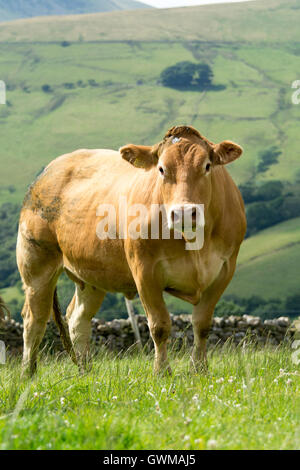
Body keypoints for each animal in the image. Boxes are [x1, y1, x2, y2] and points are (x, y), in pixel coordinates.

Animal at [17, 126, 246, 378]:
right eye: (161, 169)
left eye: (207, 166)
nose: (184, 213)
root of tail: (50, 169)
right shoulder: (145, 272)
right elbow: (159, 326)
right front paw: (162, 372)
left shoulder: (224, 270)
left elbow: (202, 324)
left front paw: (200, 369)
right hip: (36, 264)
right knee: (34, 320)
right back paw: (27, 373)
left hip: (92, 276)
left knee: (77, 319)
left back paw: (86, 372)